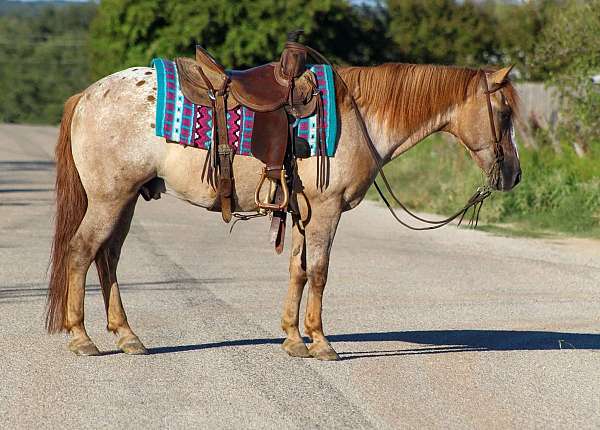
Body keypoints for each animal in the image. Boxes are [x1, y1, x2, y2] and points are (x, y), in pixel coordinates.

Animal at [44, 61, 520, 360]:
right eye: (504, 112)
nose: (513, 174)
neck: (356, 117)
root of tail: (87, 95)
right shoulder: (326, 211)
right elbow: (320, 272)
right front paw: (321, 343)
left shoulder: (302, 214)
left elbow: (298, 269)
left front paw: (293, 338)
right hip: (109, 199)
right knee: (81, 252)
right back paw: (82, 338)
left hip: (124, 201)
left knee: (108, 258)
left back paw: (127, 336)